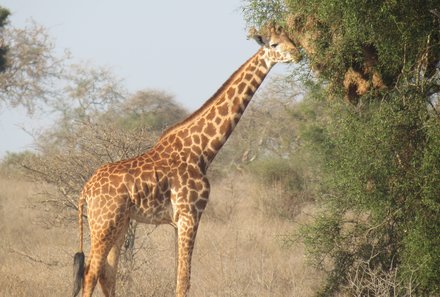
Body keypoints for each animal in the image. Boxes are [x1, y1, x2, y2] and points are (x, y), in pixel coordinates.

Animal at [72, 24, 300, 296]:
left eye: (291, 38)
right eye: (274, 44)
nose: (298, 54)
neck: (202, 151)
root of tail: (86, 189)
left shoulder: (177, 221)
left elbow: (179, 278)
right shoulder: (190, 213)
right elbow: (183, 281)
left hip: (119, 224)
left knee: (107, 273)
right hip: (104, 223)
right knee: (91, 273)